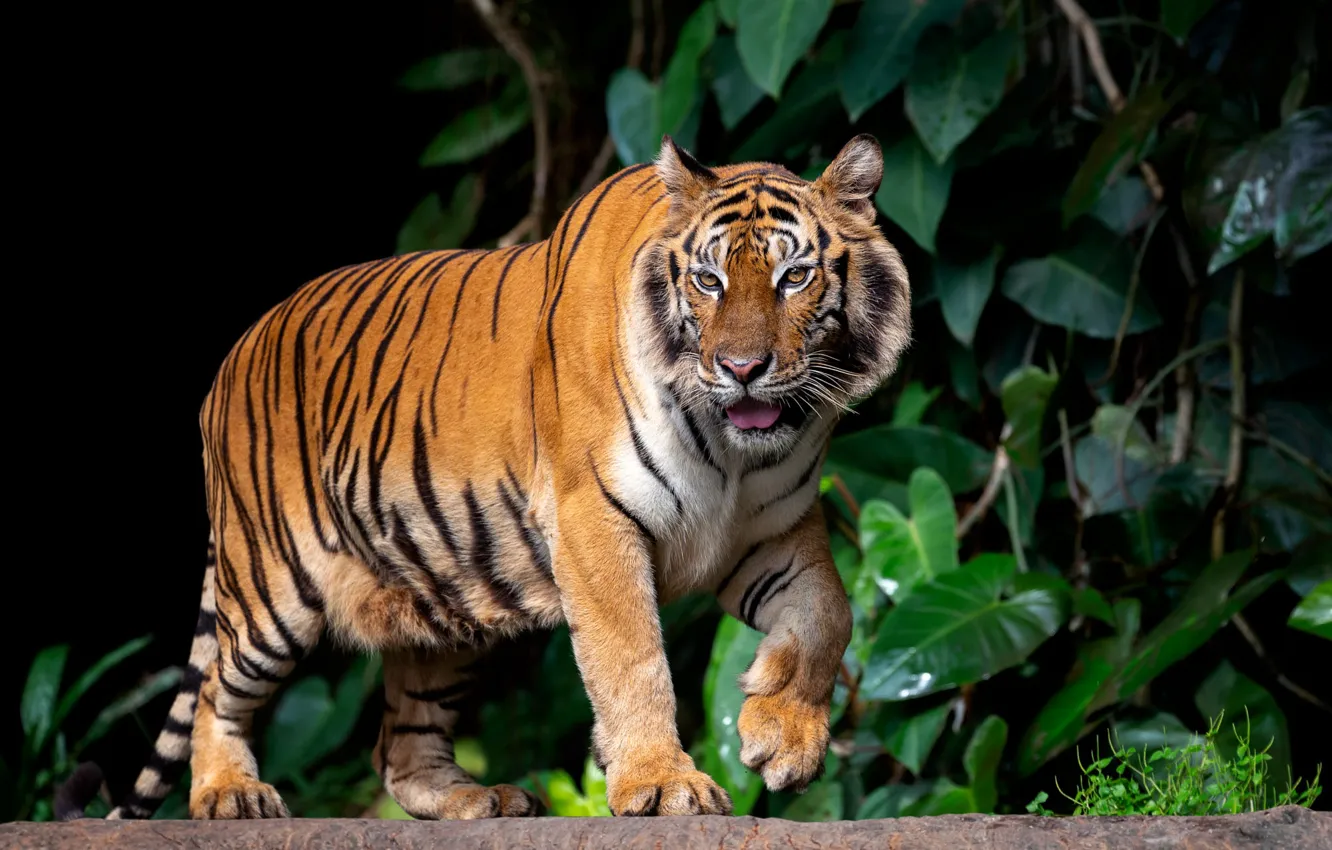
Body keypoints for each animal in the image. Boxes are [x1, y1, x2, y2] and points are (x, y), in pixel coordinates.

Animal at [56, 132, 910, 821]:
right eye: (708, 283)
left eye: (794, 278)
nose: (740, 369)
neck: (734, 455)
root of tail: (234, 354)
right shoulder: (595, 523)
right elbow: (632, 659)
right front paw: (663, 783)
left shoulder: (774, 529)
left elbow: (829, 615)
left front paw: (779, 734)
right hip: (272, 587)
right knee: (214, 690)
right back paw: (228, 793)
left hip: (444, 599)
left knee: (398, 749)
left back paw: (479, 799)